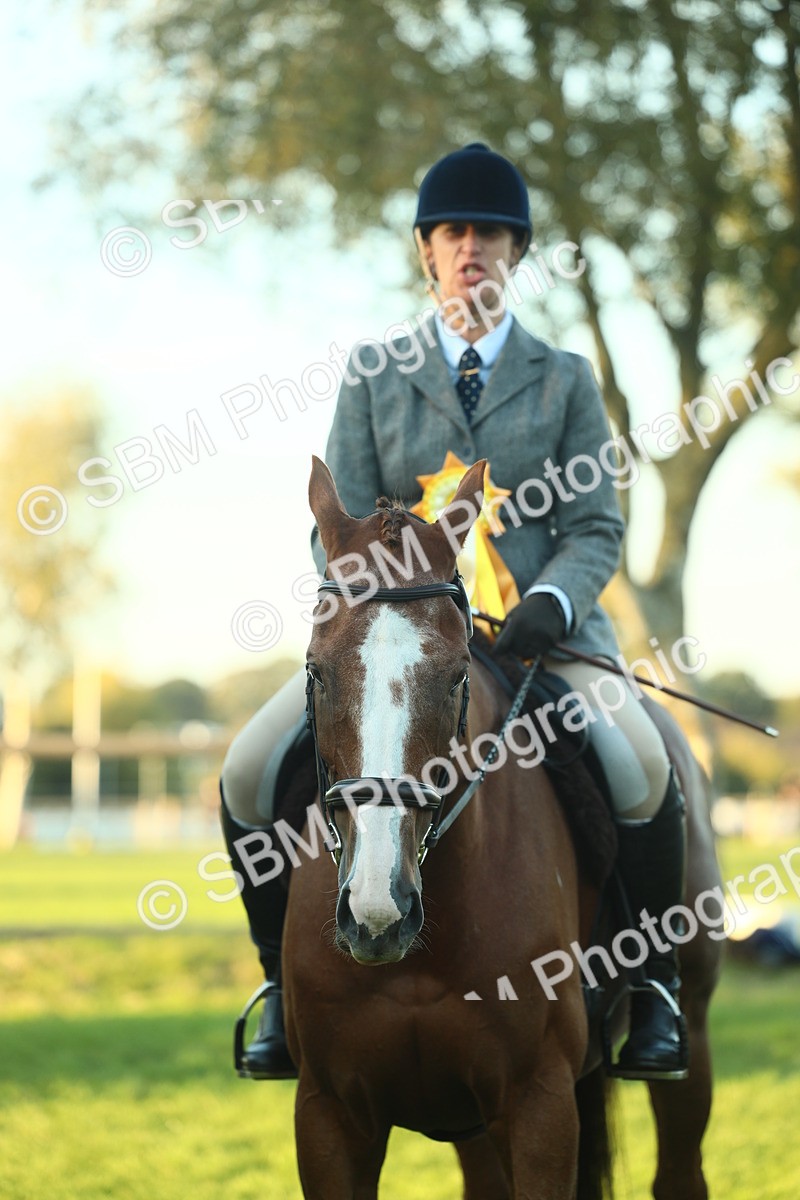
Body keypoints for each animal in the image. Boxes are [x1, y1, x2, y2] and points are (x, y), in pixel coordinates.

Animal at [281, 455, 722, 1199]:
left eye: (456, 675)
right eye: (316, 671)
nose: (377, 910)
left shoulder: (540, 1102)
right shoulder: (328, 1113)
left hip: (690, 1029)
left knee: (680, 1166)